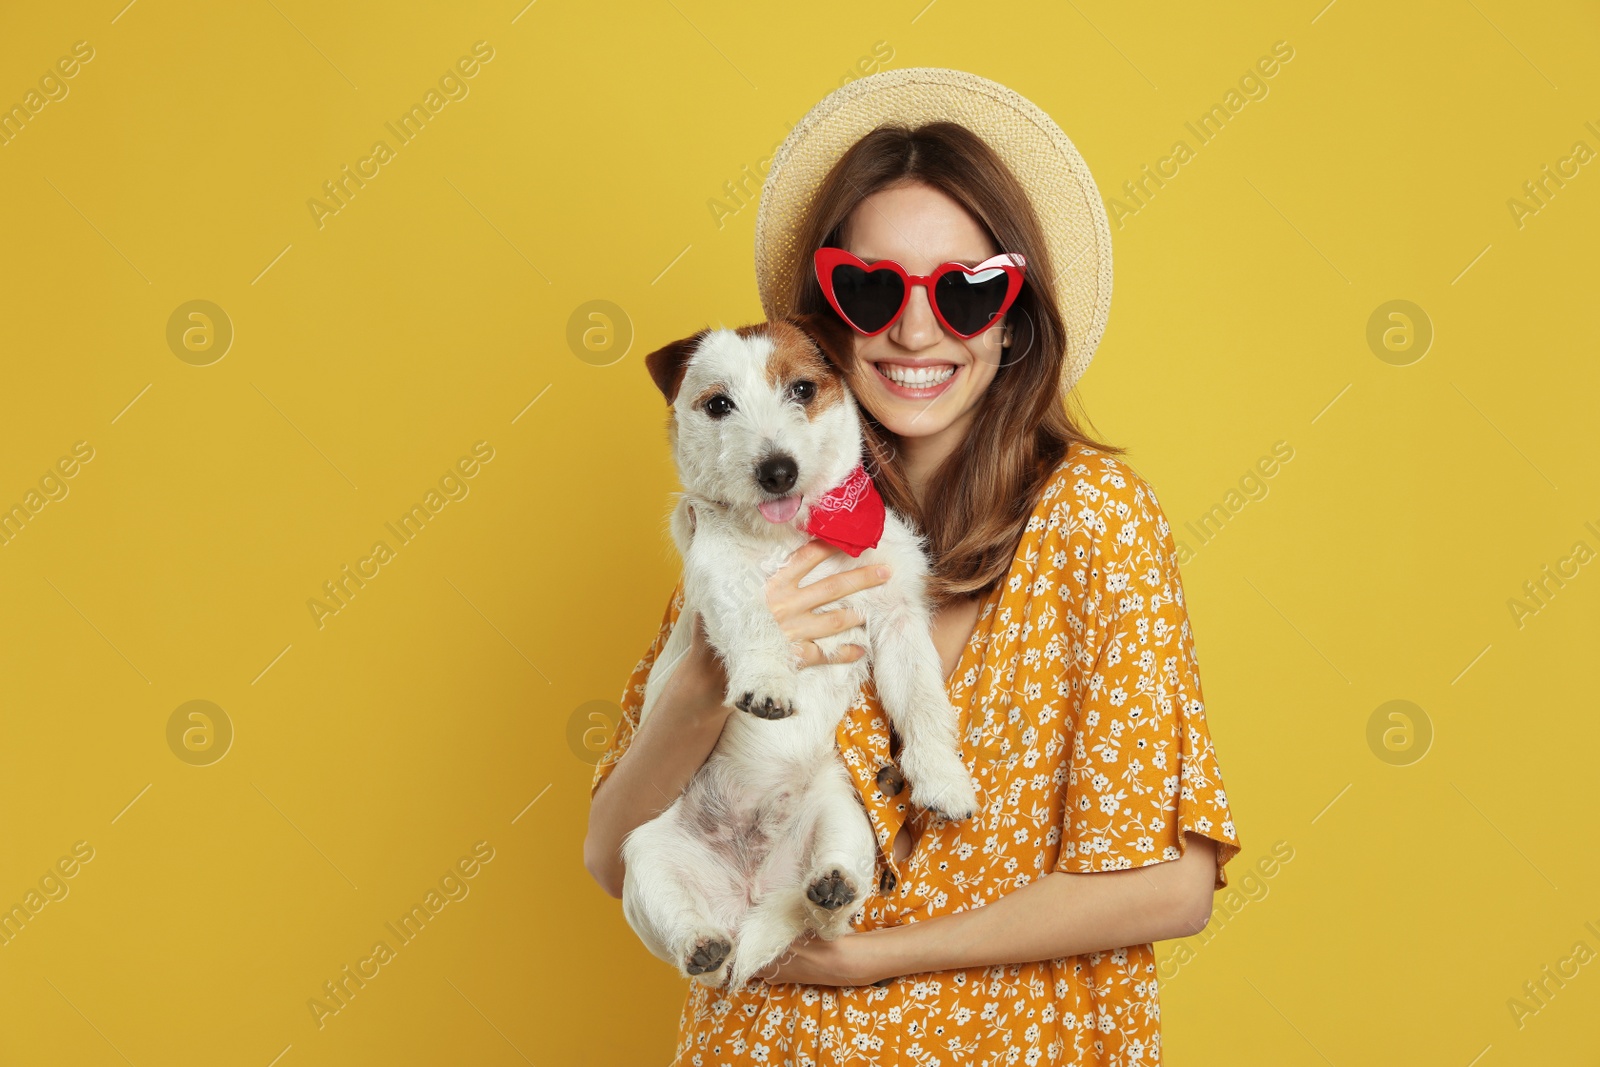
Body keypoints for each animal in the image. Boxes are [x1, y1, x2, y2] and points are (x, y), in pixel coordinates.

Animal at [620, 313, 972, 991]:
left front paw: (941, 775)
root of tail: (752, 892)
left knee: (830, 913)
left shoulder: (895, 616)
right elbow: (757, 622)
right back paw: (704, 944)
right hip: (645, 860)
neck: (791, 535)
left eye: (803, 390)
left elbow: (921, 699)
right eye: (719, 404)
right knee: (696, 944)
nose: (777, 470)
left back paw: (831, 888)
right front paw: (768, 680)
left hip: (842, 814)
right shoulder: (724, 576)